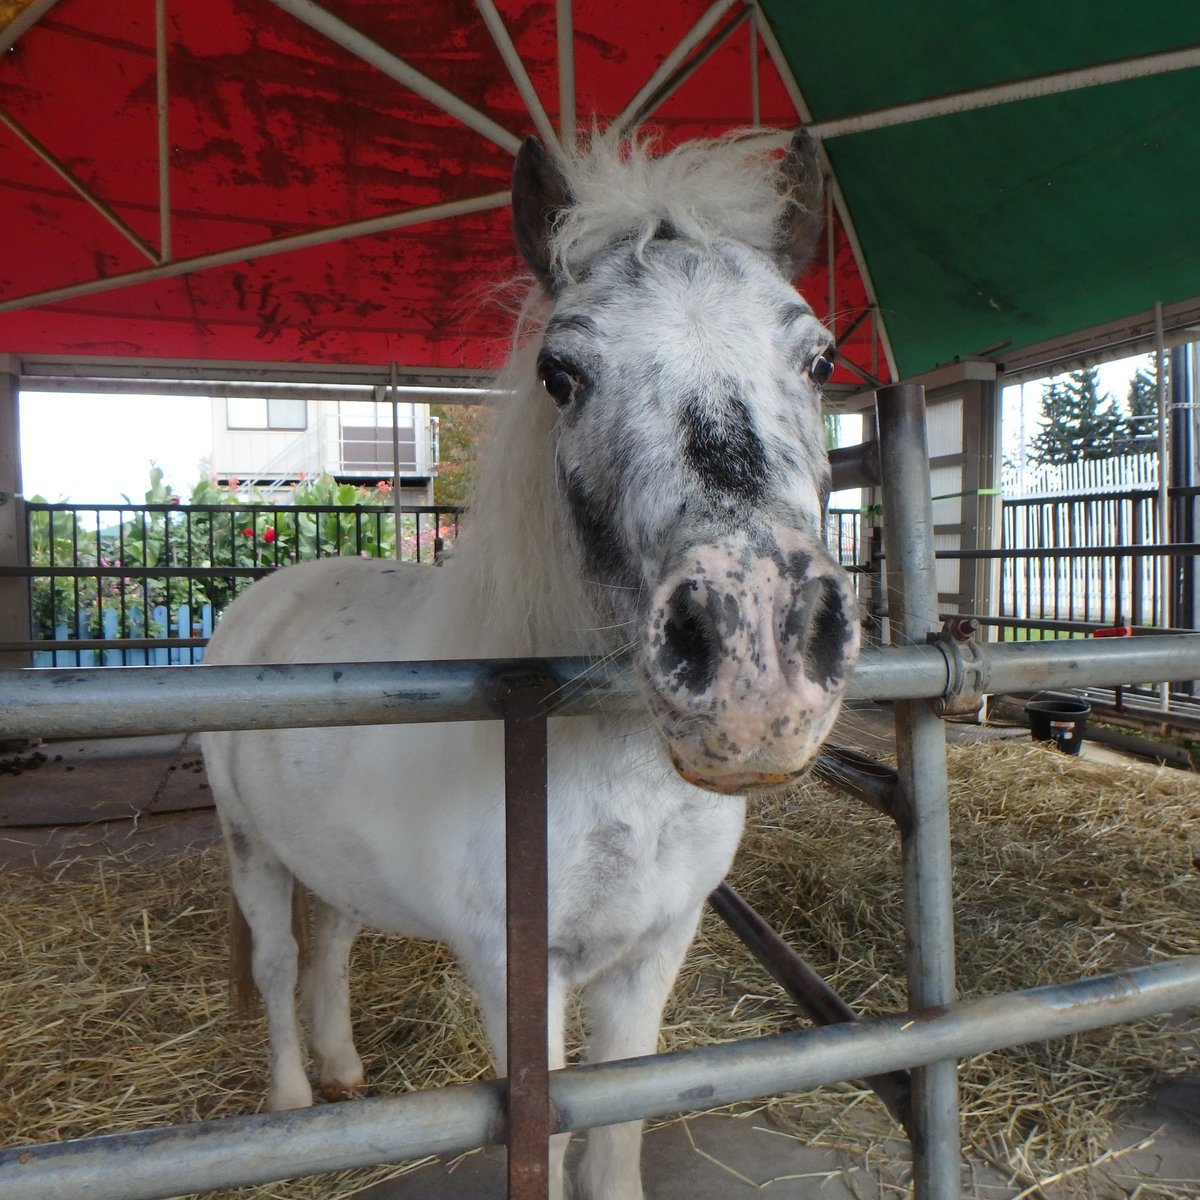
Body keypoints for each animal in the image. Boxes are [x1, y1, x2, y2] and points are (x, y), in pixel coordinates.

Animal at [199, 126, 861, 1200]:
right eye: (561, 372)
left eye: (820, 357)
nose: (755, 650)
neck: (615, 781)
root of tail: (268, 595)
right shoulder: (518, 978)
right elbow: (545, 1144)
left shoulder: (654, 952)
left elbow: (618, 1129)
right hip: (249, 848)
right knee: (275, 962)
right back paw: (293, 1105)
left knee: (330, 941)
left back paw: (342, 1075)